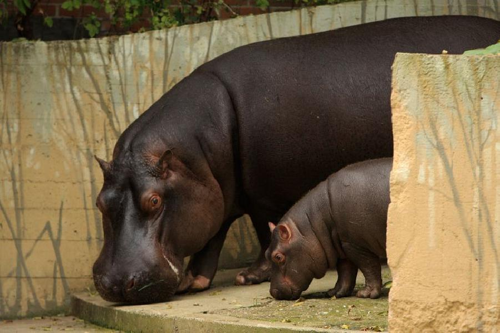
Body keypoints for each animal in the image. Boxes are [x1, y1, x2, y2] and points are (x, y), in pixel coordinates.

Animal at [268, 157, 392, 300]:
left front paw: (366, 294)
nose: (273, 292)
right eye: (266, 253)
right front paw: (334, 293)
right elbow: (345, 271)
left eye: (277, 257)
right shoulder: (342, 246)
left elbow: (369, 267)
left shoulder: (356, 244)